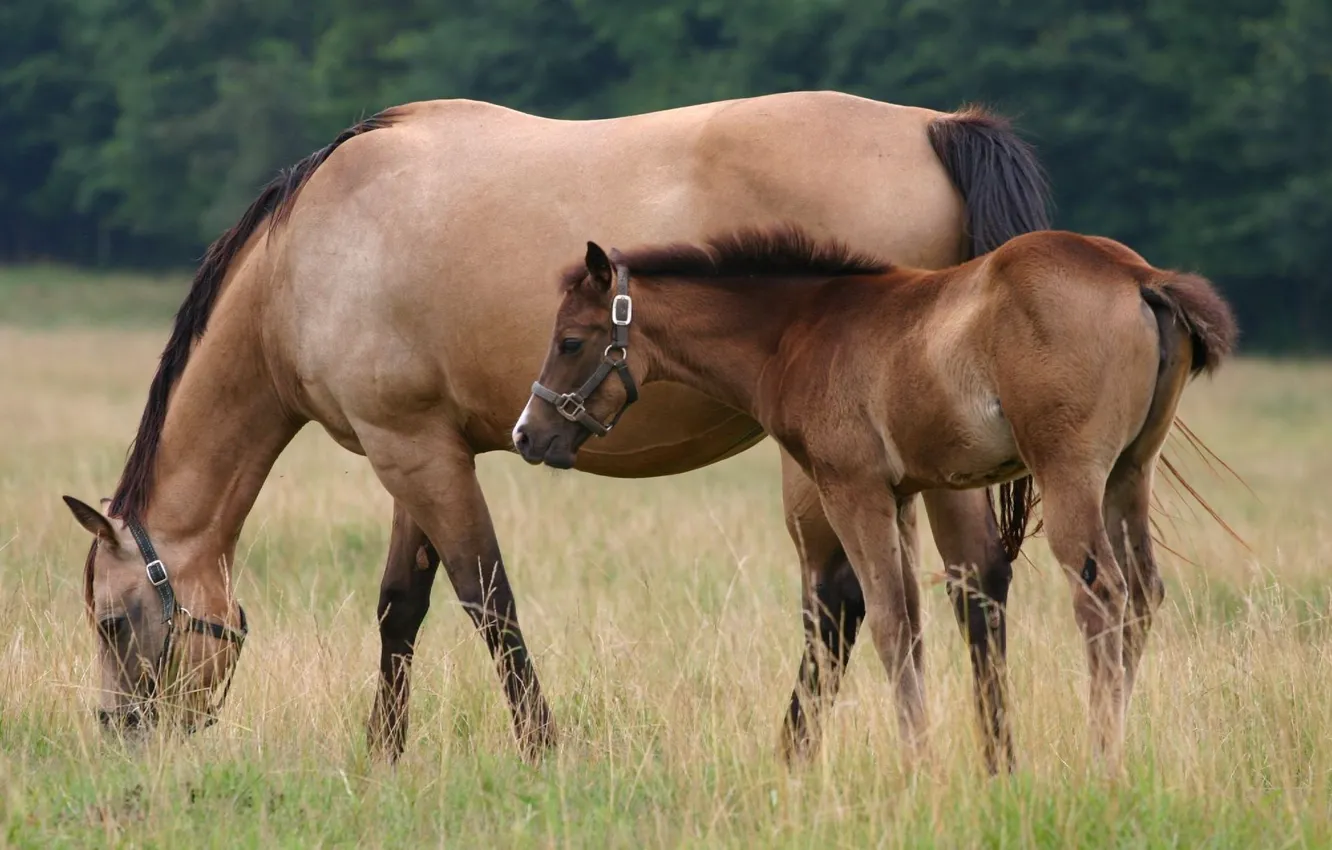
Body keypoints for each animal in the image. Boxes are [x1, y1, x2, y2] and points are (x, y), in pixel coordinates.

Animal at [59, 91, 1050, 770]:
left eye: (112, 622)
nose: (120, 736)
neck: (307, 256)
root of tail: (937, 127)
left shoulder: (409, 450)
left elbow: (486, 599)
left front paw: (541, 747)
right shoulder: (420, 447)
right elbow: (400, 605)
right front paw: (383, 753)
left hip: (833, 466)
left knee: (842, 602)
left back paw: (796, 756)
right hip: (931, 460)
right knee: (974, 585)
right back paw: (992, 759)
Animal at [514, 226, 1237, 769]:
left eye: (570, 341)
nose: (528, 433)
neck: (798, 331)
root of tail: (1138, 277)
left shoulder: (851, 488)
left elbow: (888, 621)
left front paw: (918, 763)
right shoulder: (902, 494)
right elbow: (912, 621)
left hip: (1070, 476)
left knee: (1102, 595)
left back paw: (1101, 759)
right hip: (1128, 475)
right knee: (1142, 594)